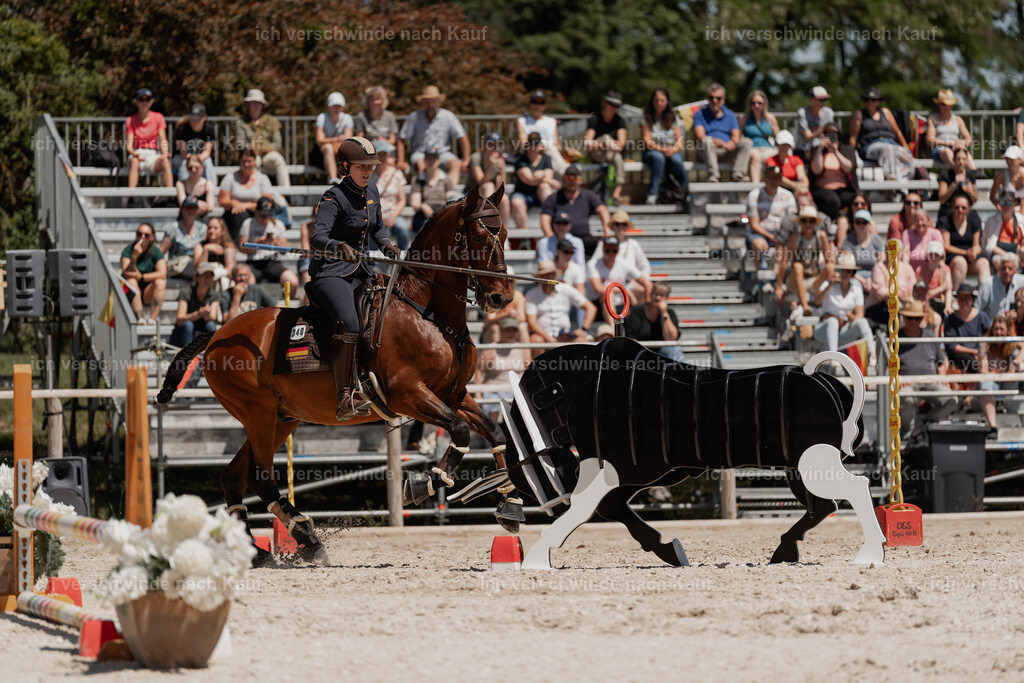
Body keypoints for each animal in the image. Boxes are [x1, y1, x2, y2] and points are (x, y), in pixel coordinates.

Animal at [157, 184, 516, 564]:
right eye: (480, 236)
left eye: (506, 234)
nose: (501, 297)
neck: (425, 311)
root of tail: (219, 334)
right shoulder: (409, 394)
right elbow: (460, 431)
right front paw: (423, 484)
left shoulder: (453, 394)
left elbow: (494, 431)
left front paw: (509, 500)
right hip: (258, 414)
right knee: (260, 476)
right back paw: (306, 536)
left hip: (281, 418)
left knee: (234, 476)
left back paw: (257, 551)